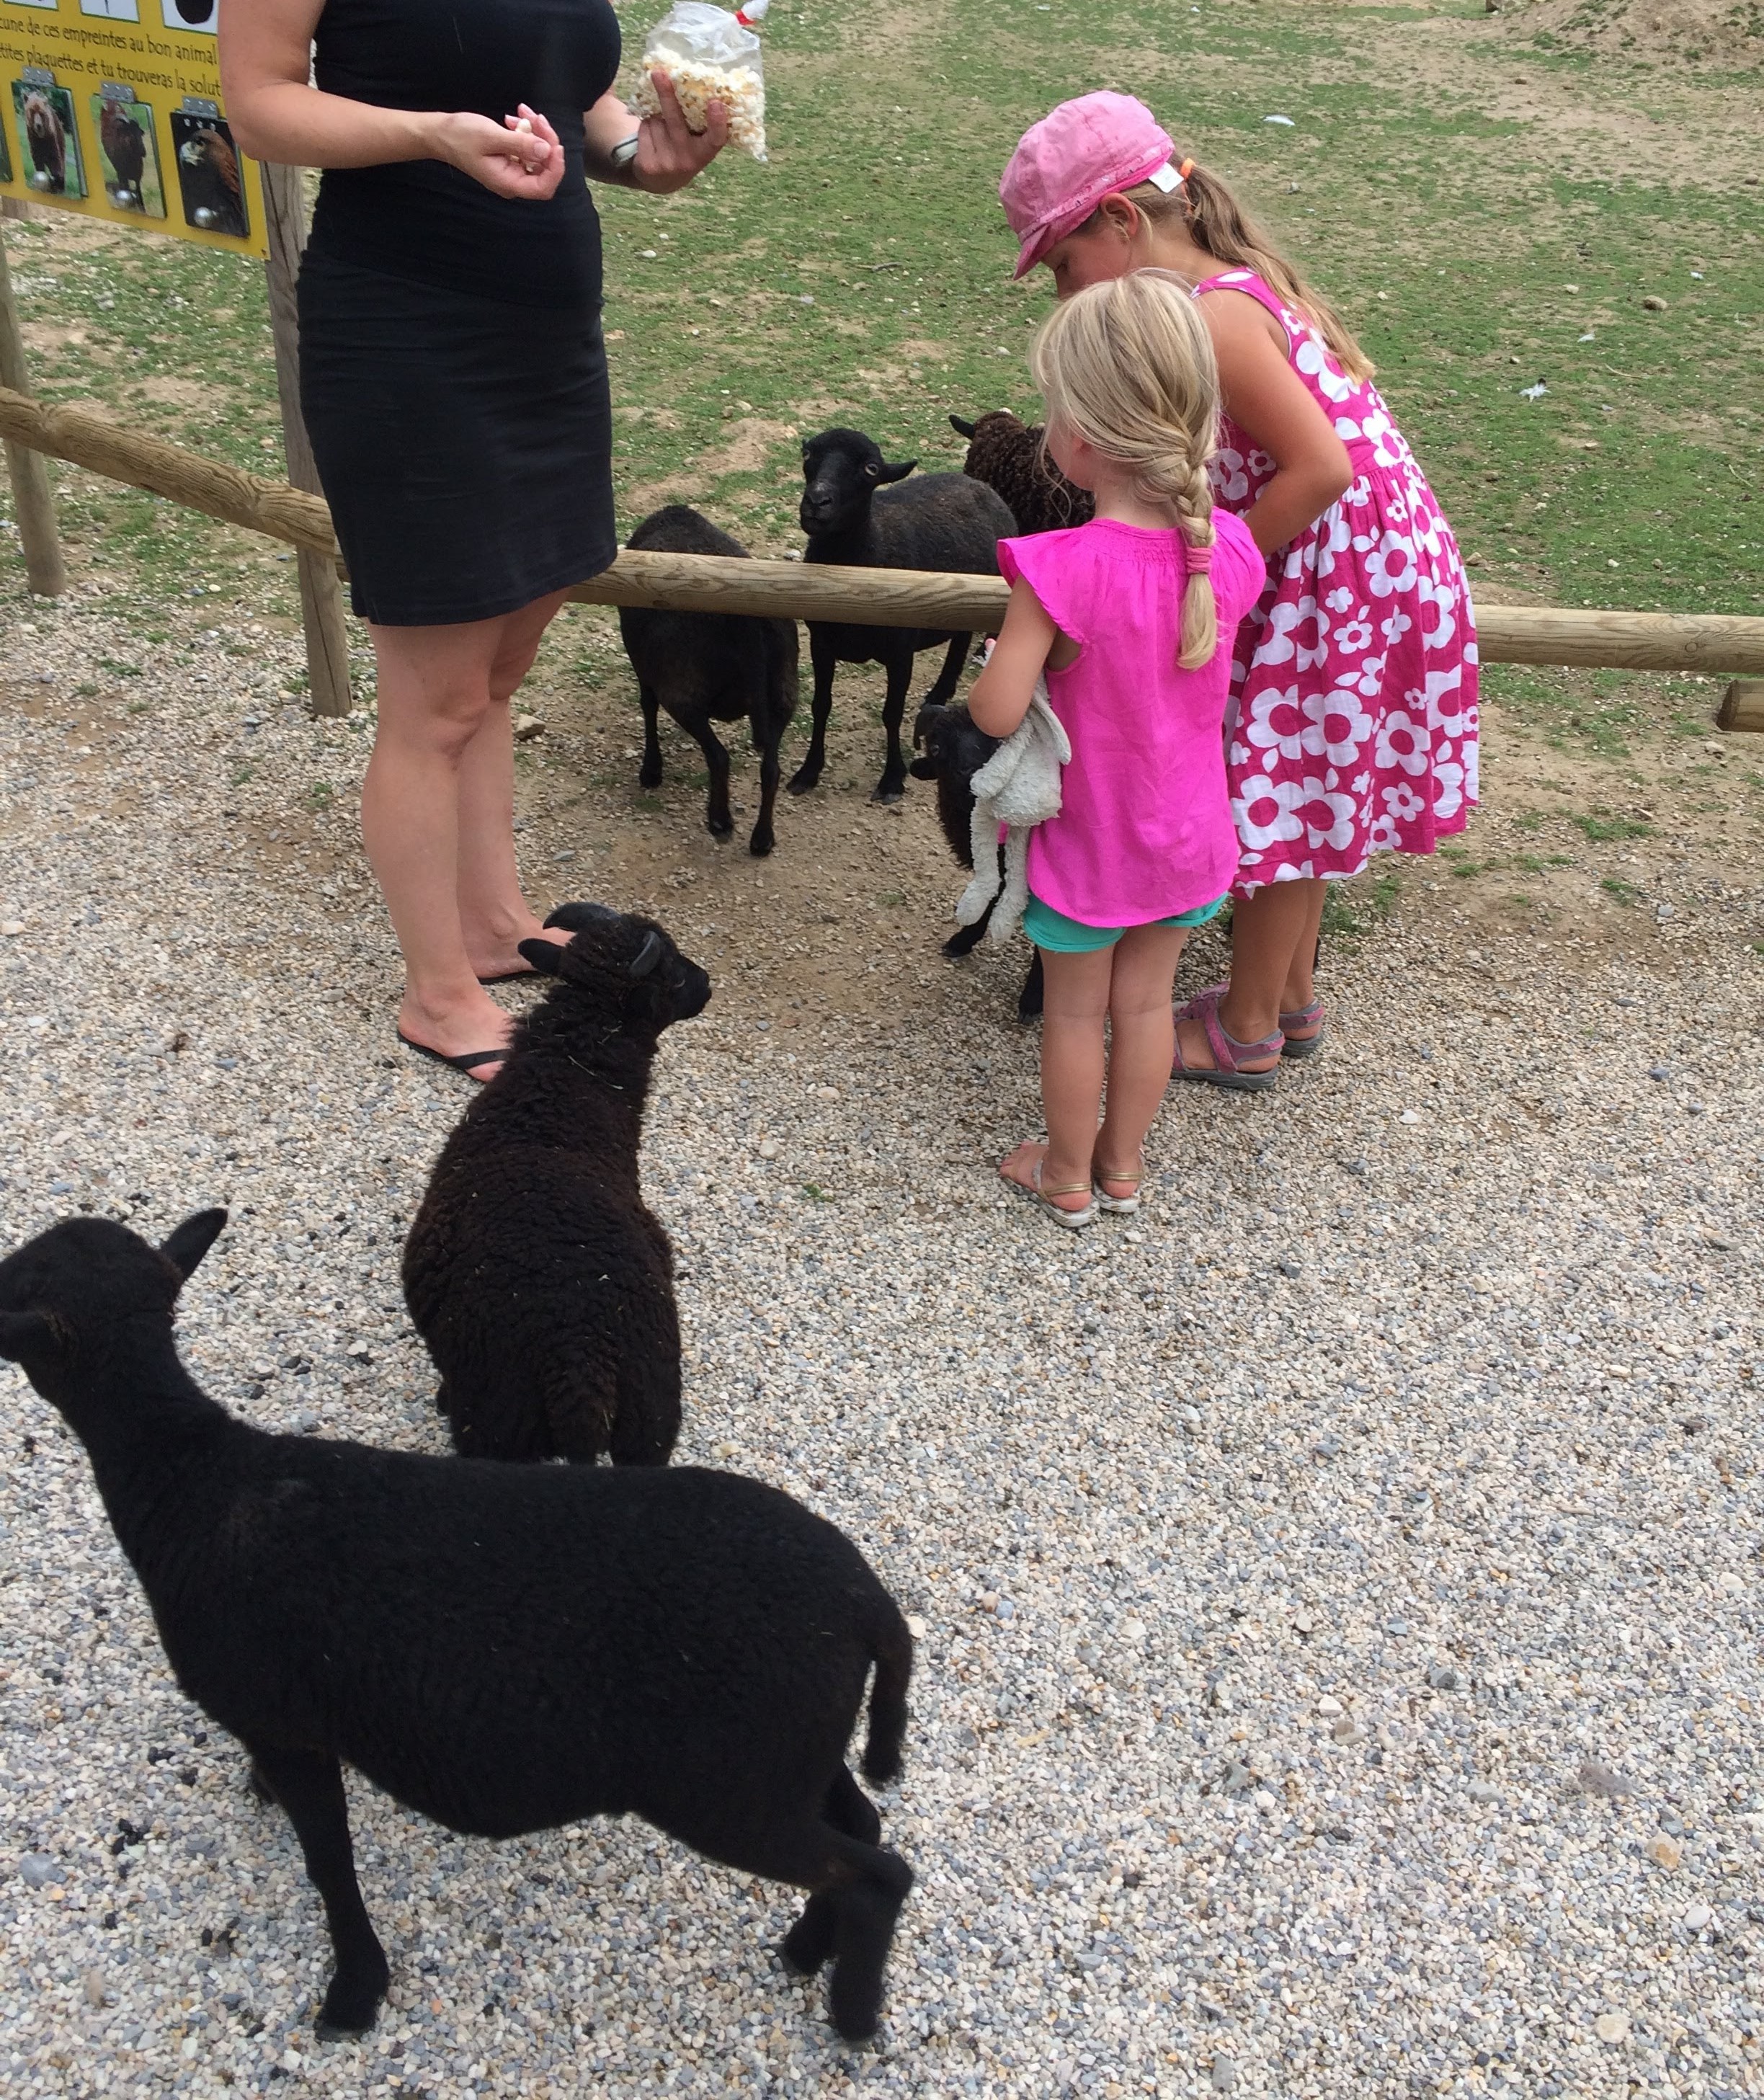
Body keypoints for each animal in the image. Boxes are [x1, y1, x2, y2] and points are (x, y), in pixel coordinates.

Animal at [0, 1210, 916, 2045]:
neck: (188, 1475)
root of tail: (870, 1603)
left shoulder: (280, 1720)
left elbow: (328, 1861)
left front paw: (354, 1990)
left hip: (728, 1786)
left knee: (877, 1873)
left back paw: (853, 2014)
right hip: (789, 1752)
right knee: (863, 1824)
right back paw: (806, 1950)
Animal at [403, 903, 708, 1467]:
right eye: (674, 975)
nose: (708, 984)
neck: (557, 1096)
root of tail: (581, 1361)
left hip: (501, 1425)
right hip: (649, 1423)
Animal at [620, 507, 800, 858]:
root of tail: (747, 622)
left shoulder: (645, 666)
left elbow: (647, 705)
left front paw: (651, 771)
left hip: (683, 690)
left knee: (718, 756)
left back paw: (720, 822)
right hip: (784, 692)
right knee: (771, 768)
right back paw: (762, 839)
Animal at [793, 426, 1016, 805]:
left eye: (870, 469)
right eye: (808, 455)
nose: (817, 502)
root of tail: (979, 485)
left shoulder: (900, 652)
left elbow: (891, 713)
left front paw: (892, 779)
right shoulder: (820, 643)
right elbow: (821, 704)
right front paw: (808, 771)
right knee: (959, 639)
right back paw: (939, 695)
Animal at [909, 701, 1044, 1023]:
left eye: (997, 742)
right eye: (936, 747)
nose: (970, 774)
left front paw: (1033, 1000)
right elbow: (990, 895)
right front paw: (962, 941)